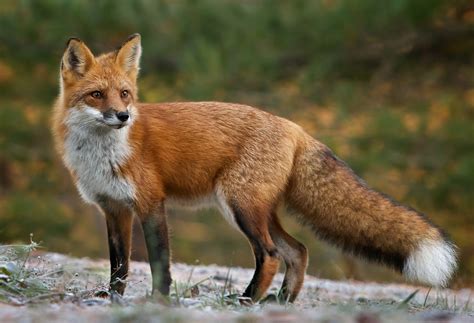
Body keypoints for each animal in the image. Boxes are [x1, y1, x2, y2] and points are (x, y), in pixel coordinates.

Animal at [53, 34, 458, 302]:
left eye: (125, 94)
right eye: (96, 95)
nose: (122, 116)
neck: (102, 154)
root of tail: (295, 127)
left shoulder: (151, 202)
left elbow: (159, 262)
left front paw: (158, 300)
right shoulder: (113, 208)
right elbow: (119, 265)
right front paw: (112, 298)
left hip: (241, 208)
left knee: (272, 254)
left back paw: (247, 300)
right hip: (256, 210)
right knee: (298, 251)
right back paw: (280, 302)